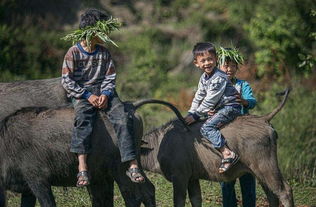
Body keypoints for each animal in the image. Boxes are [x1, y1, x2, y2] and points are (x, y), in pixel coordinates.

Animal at [139, 88, 294, 207]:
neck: (160, 144)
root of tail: (263, 119)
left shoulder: (180, 177)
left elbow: (179, 202)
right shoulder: (192, 179)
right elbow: (196, 200)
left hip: (266, 167)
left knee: (285, 191)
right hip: (260, 173)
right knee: (272, 194)